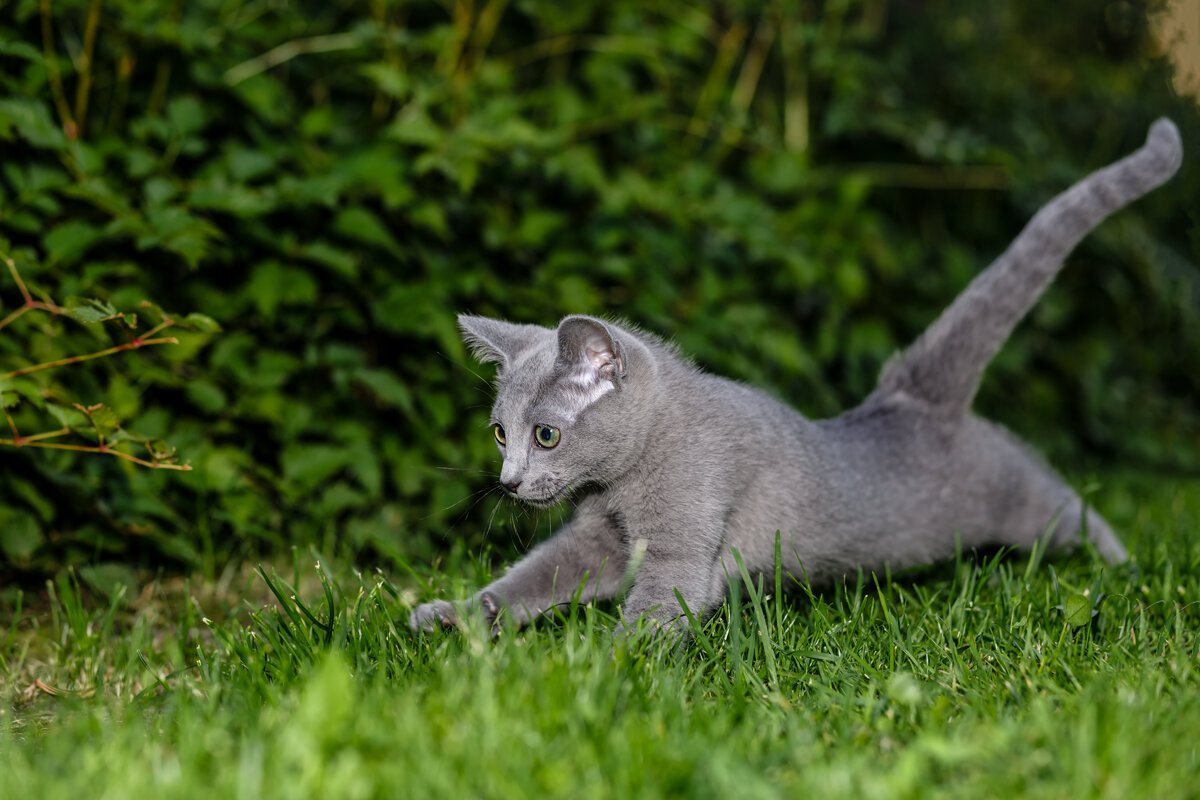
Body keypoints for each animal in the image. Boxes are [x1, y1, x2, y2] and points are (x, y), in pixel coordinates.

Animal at [410, 118, 1180, 638]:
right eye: (499, 432)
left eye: (546, 435)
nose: (509, 481)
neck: (626, 477)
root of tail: (913, 394)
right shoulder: (599, 537)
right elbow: (532, 576)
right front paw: (455, 616)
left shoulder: (686, 534)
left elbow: (659, 605)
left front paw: (608, 674)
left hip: (1015, 497)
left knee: (1067, 506)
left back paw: (1125, 567)